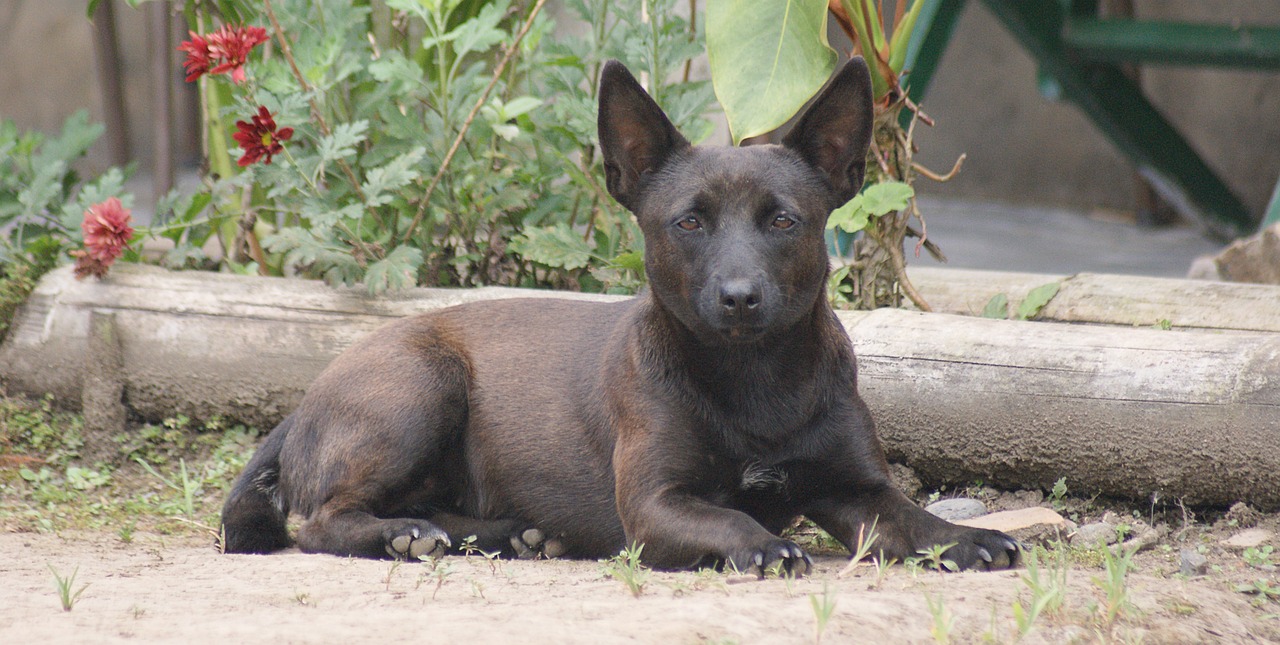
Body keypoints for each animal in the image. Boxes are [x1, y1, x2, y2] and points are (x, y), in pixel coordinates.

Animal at [222, 59, 1018, 573]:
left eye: (783, 220)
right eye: (688, 222)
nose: (739, 296)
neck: (753, 377)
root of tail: (307, 401)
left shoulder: (857, 490)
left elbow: (912, 516)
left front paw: (967, 538)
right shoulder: (654, 504)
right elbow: (730, 515)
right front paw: (761, 544)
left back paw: (507, 535)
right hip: (421, 387)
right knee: (321, 520)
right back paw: (402, 538)